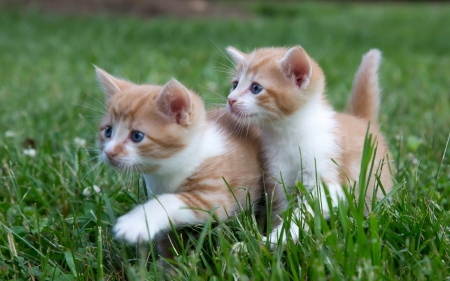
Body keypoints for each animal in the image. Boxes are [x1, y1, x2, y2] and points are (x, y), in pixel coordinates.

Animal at [95, 67, 264, 256]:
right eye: (108, 131)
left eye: (137, 136)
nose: (109, 152)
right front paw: (169, 260)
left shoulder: (216, 192)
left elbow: (172, 201)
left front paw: (136, 222)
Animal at [227, 46, 392, 243]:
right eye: (235, 85)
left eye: (256, 88)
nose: (230, 99)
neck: (287, 136)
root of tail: (362, 120)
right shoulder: (279, 178)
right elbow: (282, 211)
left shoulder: (327, 173)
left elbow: (304, 213)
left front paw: (272, 240)